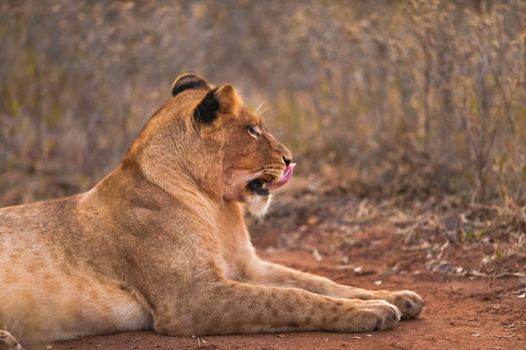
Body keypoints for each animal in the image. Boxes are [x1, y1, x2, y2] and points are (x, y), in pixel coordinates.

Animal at [0, 73, 424, 348]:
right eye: (252, 130)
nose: (290, 159)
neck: (218, 208)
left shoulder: (249, 268)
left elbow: (318, 281)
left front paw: (397, 297)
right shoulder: (191, 297)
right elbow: (291, 297)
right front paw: (372, 311)